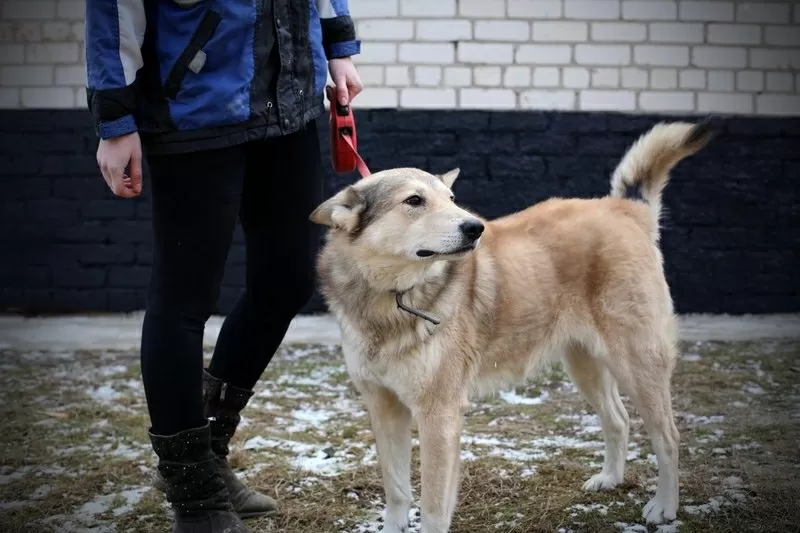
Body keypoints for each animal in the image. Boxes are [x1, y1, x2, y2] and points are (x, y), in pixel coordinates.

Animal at [310, 121, 716, 532]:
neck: (389, 297)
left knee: (668, 437)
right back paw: (610, 479)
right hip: (584, 364)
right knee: (618, 420)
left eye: (452, 198)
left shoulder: (439, 416)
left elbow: (434, 507)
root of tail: (624, 208)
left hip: (638, 363)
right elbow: (396, 492)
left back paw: (664, 506)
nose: (475, 228)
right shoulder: (384, 408)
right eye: (414, 201)